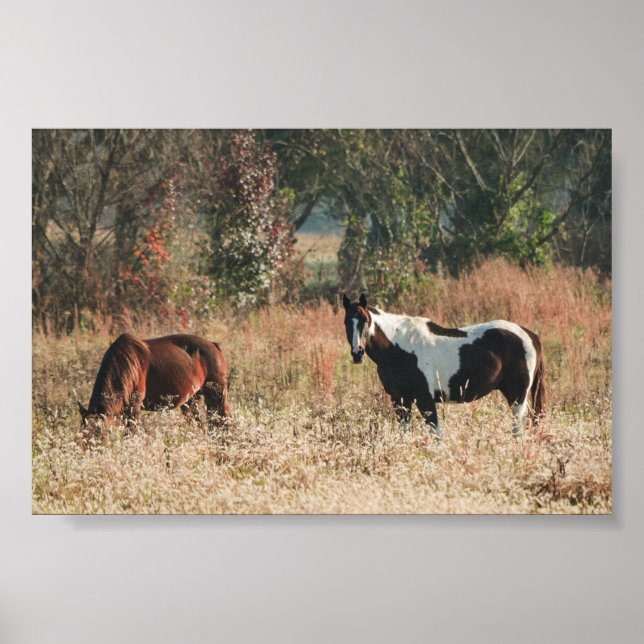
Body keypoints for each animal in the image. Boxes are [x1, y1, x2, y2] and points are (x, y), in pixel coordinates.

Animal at [77, 333, 230, 439]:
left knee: (221, 421)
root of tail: (213, 345)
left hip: (216, 395)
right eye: (82, 430)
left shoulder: (134, 408)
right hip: (191, 400)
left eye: (98, 432)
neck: (126, 365)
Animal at [342, 293, 545, 436]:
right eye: (346, 323)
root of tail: (530, 335)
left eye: (365, 321)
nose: (357, 353)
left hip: (517, 395)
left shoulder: (424, 399)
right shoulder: (400, 399)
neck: (399, 346)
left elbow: (436, 433)